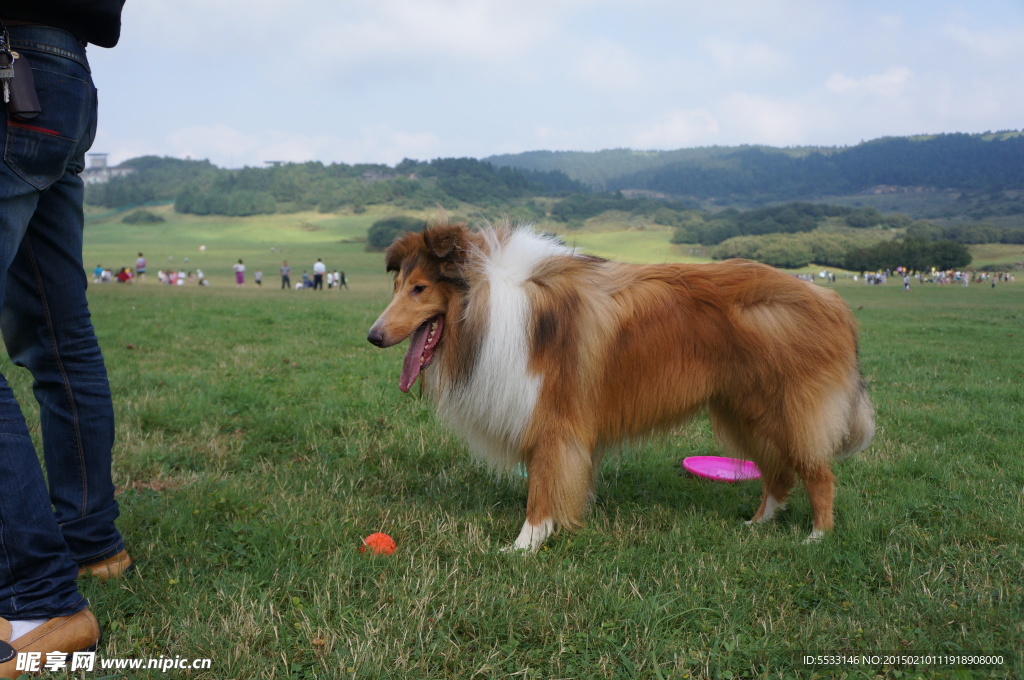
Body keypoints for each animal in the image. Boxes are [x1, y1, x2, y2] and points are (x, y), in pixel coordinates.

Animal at [366, 220, 872, 548]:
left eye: (419, 289)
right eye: (397, 286)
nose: (373, 336)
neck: (488, 307)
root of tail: (831, 299)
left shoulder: (554, 422)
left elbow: (542, 489)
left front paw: (524, 545)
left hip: (788, 410)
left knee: (819, 474)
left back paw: (816, 537)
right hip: (744, 412)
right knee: (779, 473)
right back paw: (758, 525)